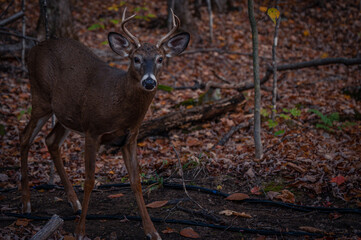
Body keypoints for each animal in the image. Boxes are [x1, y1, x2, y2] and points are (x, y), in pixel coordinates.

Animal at [20, 8, 188, 239]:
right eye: (136, 58)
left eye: (160, 58)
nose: (149, 82)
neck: (119, 106)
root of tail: (34, 49)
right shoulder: (93, 130)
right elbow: (90, 180)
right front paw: (80, 231)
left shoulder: (130, 137)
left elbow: (136, 181)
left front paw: (152, 231)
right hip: (41, 97)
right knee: (25, 138)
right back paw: (26, 203)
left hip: (67, 113)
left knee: (51, 140)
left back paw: (74, 202)